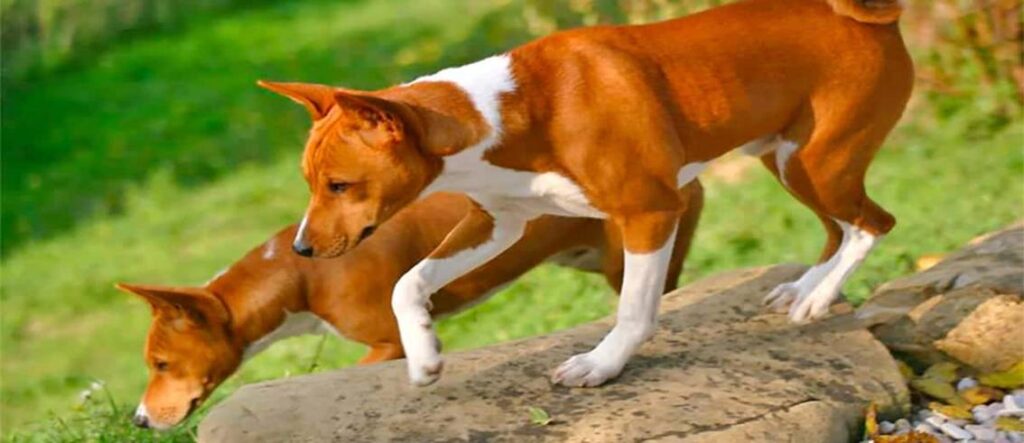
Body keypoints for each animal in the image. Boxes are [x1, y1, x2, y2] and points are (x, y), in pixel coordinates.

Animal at [260, 0, 917, 386]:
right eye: (310, 185)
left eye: (339, 185)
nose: (301, 250)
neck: (513, 113)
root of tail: (870, 18)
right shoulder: (497, 223)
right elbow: (408, 283)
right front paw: (424, 356)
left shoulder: (651, 211)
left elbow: (633, 309)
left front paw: (602, 363)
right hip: (786, 158)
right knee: (840, 227)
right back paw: (808, 289)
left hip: (818, 162)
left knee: (872, 224)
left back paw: (818, 295)